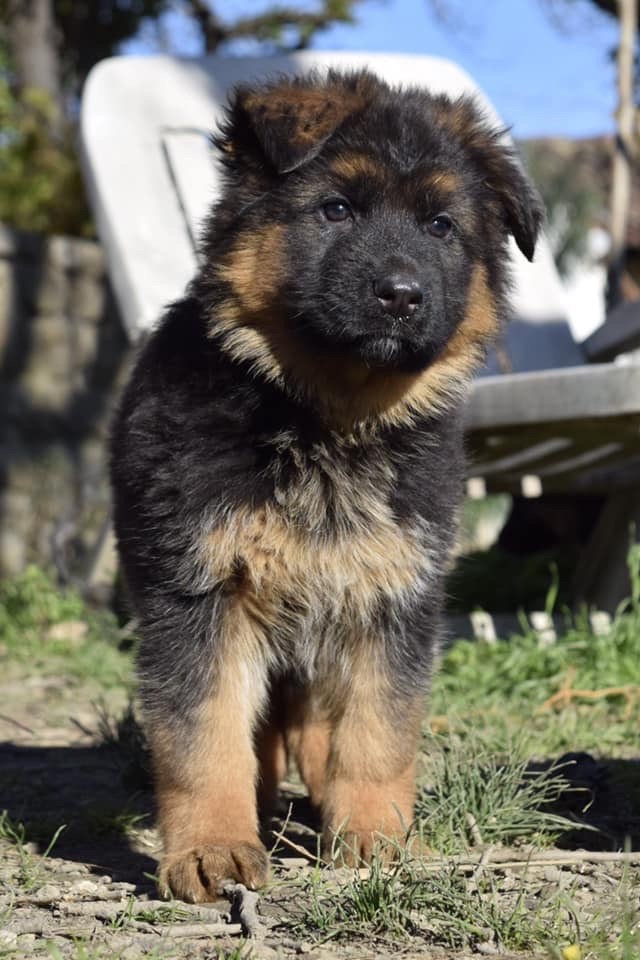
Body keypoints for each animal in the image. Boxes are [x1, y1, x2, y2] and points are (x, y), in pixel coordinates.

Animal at [112, 69, 544, 900]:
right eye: (336, 209)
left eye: (441, 226)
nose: (402, 294)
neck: (326, 421)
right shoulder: (200, 593)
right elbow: (204, 732)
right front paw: (212, 848)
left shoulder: (394, 593)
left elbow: (380, 728)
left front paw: (375, 838)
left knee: (319, 720)